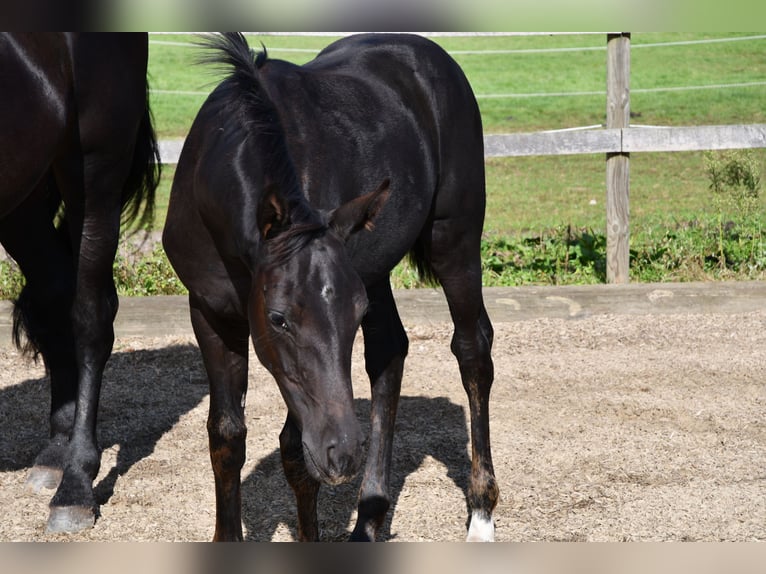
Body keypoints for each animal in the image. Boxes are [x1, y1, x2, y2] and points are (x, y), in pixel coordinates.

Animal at [0, 33, 160, 532]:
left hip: (92, 172)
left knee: (90, 319)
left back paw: (74, 483)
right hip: (26, 194)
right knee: (54, 294)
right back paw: (55, 451)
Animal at [163, 32, 498, 544]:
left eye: (353, 317)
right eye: (279, 318)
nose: (344, 452)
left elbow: (294, 451)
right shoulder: (210, 312)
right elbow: (227, 435)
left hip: (453, 241)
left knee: (472, 349)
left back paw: (481, 514)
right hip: (375, 269)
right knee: (389, 352)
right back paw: (370, 516)